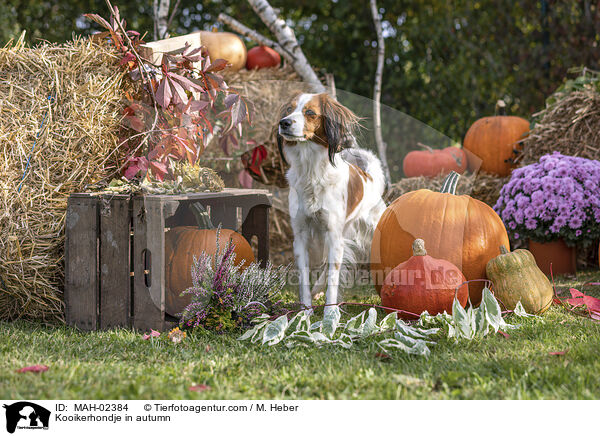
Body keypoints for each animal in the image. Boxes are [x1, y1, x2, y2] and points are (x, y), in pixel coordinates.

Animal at [278, 92, 386, 310]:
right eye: (289, 110)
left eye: (310, 113)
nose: (283, 123)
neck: (311, 172)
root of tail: (368, 176)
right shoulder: (301, 237)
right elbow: (304, 281)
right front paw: (306, 312)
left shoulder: (333, 235)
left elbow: (333, 281)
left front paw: (330, 315)